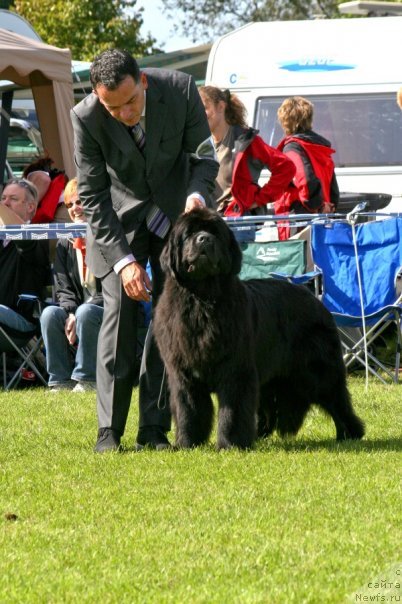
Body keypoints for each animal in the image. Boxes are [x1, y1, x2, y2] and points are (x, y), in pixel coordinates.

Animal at [153, 208, 364, 448]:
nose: (204, 238)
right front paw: (188, 443)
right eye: (189, 234)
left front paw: (230, 444)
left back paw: (350, 433)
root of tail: (314, 298)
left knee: (336, 397)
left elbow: (233, 410)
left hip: (317, 369)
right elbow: (188, 408)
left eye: (215, 233)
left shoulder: (237, 370)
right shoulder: (184, 373)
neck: (202, 298)